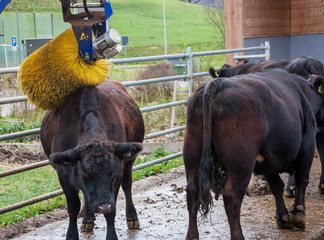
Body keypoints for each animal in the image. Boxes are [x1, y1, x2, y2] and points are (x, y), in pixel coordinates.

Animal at [40, 81, 144, 240]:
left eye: (112, 172)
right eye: (85, 173)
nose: (103, 206)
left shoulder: (118, 173)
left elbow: (111, 211)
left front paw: (112, 235)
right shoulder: (64, 174)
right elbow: (73, 207)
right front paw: (72, 235)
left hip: (128, 163)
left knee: (127, 186)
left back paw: (132, 218)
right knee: (86, 195)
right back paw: (88, 220)